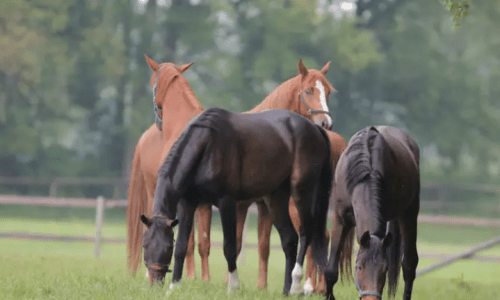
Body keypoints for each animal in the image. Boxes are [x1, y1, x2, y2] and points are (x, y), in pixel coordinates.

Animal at [141, 108, 334, 296]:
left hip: (302, 192)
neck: (206, 145)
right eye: (145, 245)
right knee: (289, 239)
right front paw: (175, 286)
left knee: (306, 233)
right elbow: (182, 245)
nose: (155, 283)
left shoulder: (227, 203)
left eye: (167, 246)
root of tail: (314, 128)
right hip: (275, 198)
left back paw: (295, 284)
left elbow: (229, 246)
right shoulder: (187, 204)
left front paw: (233, 286)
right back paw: (286, 290)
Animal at [322, 126, 420, 300]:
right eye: (359, 267)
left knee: (409, 265)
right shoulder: (340, 219)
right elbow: (331, 270)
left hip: (409, 213)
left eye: (384, 269)